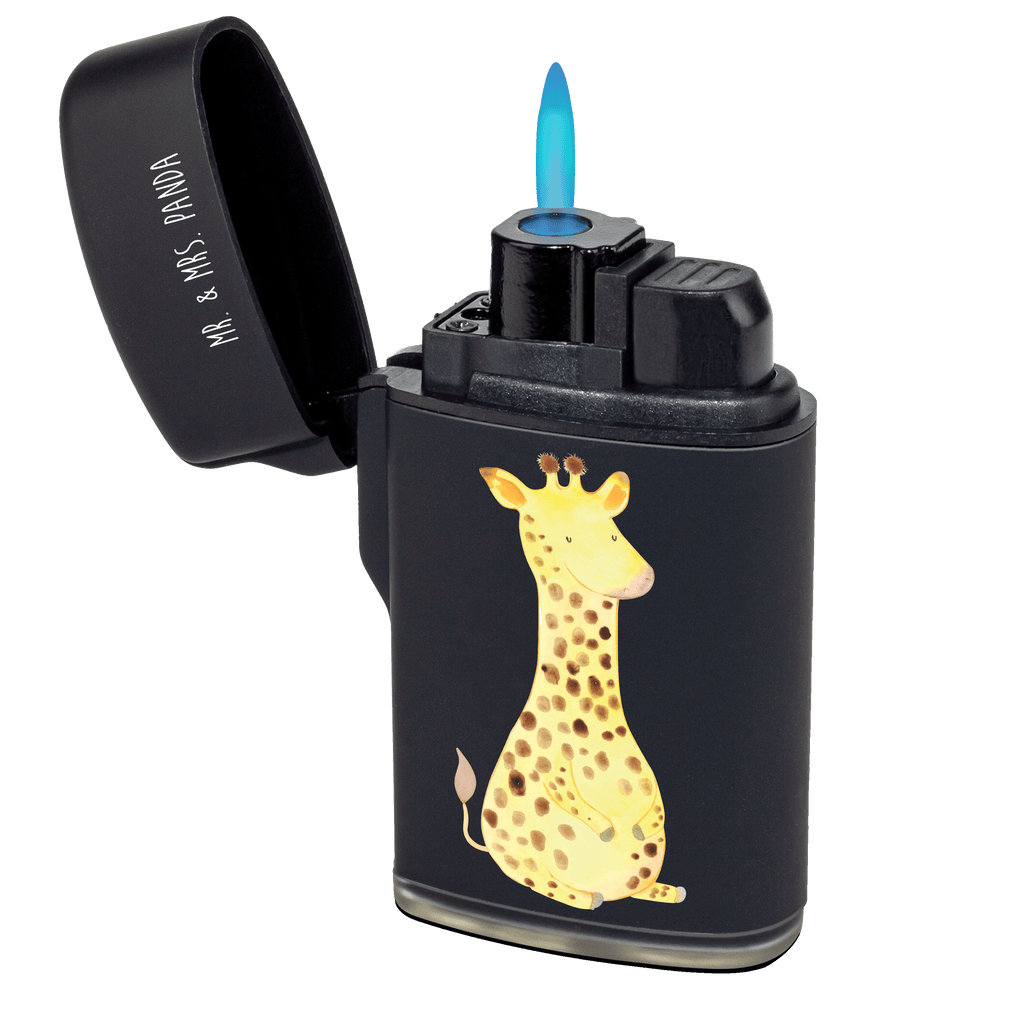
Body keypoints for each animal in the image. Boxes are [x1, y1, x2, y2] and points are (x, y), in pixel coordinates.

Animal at [454, 453, 685, 910]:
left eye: (614, 531)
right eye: (566, 537)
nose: (641, 577)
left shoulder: (645, 782)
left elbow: (655, 801)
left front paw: (639, 824)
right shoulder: (552, 766)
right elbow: (562, 788)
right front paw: (605, 826)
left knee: (642, 882)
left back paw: (668, 891)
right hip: (520, 857)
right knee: (542, 880)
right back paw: (587, 896)